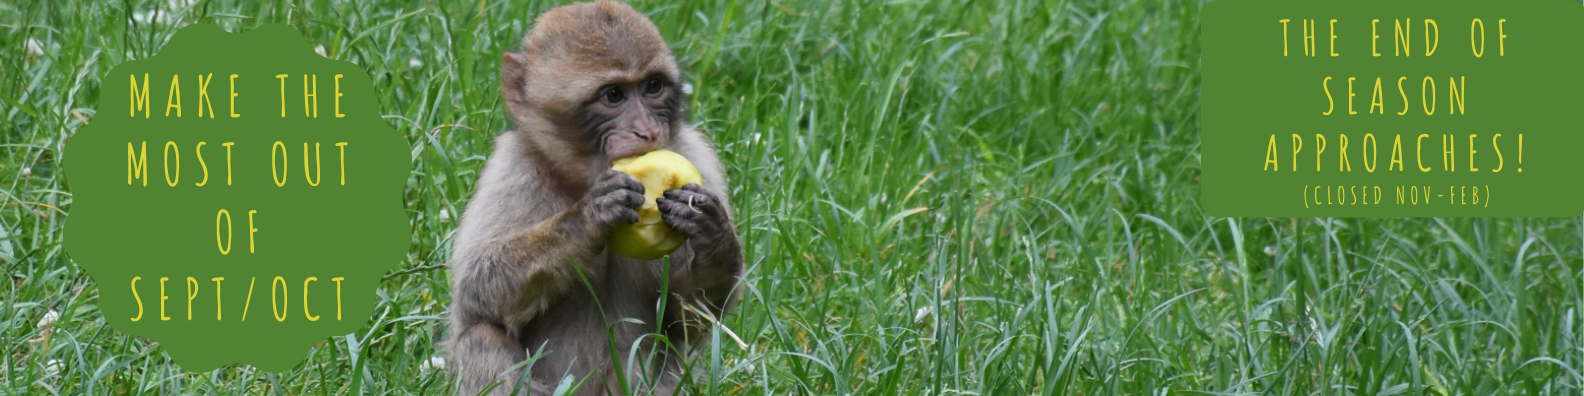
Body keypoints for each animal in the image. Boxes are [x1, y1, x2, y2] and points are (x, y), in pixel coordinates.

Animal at [443, 1, 744, 394]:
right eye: (613, 95)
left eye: (653, 86)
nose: (647, 132)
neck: (584, 178)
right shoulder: (513, 167)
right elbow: (476, 294)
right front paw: (590, 217)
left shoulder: (698, 158)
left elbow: (684, 319)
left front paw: (714, 236)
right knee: (482, 335)